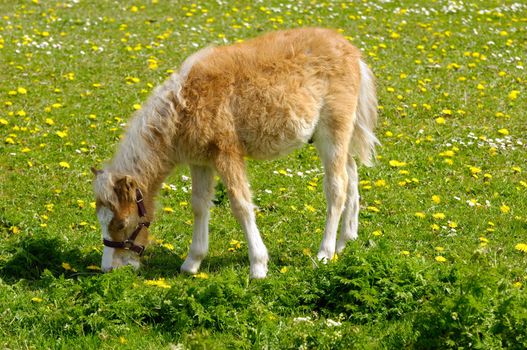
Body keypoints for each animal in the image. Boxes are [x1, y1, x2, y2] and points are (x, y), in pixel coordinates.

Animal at [92, 27, 380, 278]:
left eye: (121, 223)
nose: (108, 268)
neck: (182, 105)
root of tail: (352, 51)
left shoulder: (226, 153)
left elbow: (241, 205)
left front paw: (259, 266)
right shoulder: (200, 161)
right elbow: (199, 205)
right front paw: (192, 262)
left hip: (333, 130)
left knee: (336, 185)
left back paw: (325, 252)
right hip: (327, 137)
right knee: (351, 173)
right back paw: (345, 240)